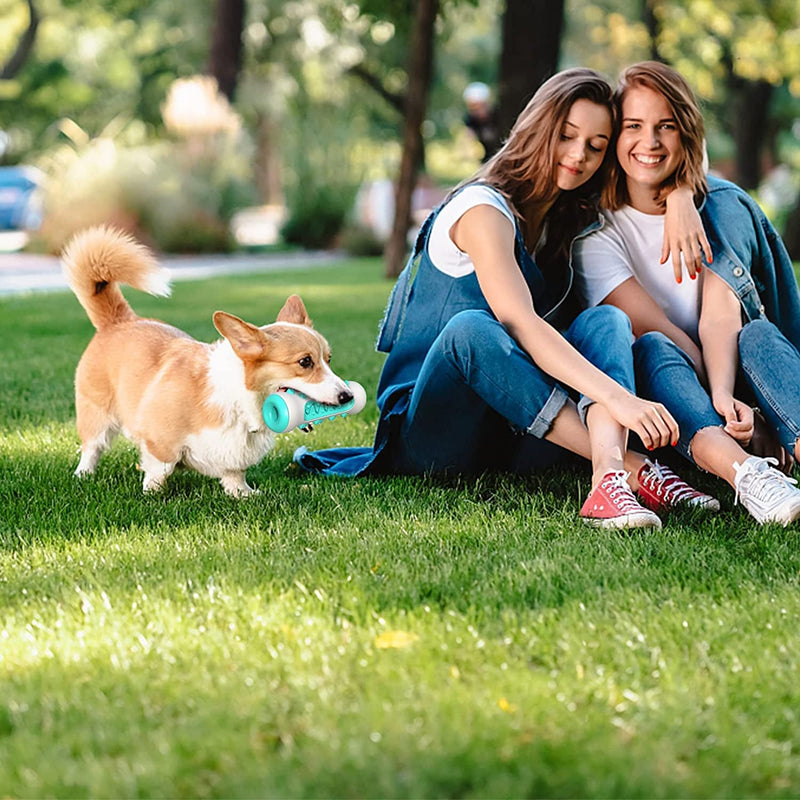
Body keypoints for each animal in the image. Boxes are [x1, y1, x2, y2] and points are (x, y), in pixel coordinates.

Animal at [62, 225, 350, 494]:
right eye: (305, 362)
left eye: (329, 358)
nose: (347, 396)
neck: (241, 400)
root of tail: (119, 320)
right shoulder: (159, 440)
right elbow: (160, 467)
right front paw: (152, 493)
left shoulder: (235, 455)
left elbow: (235, 474)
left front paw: (243, 493)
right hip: (96, 413)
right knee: (92, 447)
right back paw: (83, 475)